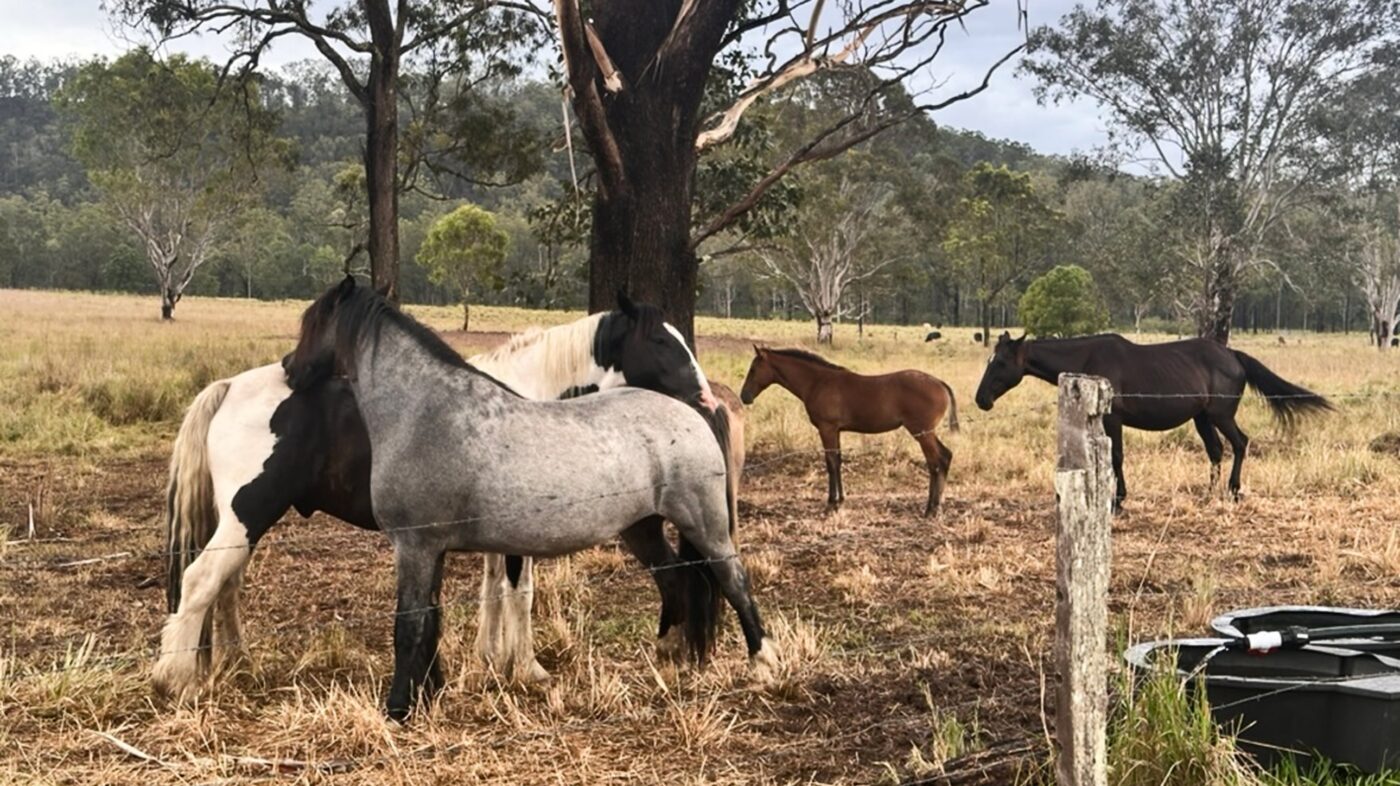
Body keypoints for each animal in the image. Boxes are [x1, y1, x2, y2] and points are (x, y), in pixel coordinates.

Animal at [155, 290, 746, 701]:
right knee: (202, 580)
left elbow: (490, 592)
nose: (707, 399)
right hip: (248, 513)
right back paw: (176, 675)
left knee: (224, 586)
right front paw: (525, 667)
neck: (523, 396)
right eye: (662, 342)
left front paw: (488, 660)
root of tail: (229, 385)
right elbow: (517, 593)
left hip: (245, 521)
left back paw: (233, 663)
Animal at [739, 346, 959, 517]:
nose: (744, 396)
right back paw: (935, 507)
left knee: (936, 462)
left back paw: (931, 509)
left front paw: (831, 504)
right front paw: (840, 501)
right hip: (926, 433)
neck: (818, 382)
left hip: (922, 432)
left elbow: (830, 463)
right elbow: (838, 461)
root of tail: (940, 383)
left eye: (753, 369)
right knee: (944, 457)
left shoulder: (827, 429)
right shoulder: (835, 430)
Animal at [973, 332, 1332, 509]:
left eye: (1001, 362)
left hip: (1220, 415)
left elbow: (1117, 457)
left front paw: (1118, 500)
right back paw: (1210, 491)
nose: (981, 400)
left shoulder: (1114, 420)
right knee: (1216, 451)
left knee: (1240, 444)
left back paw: (1232, 490)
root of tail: (1233, 355)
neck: (1088, 360)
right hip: (1202, 418)